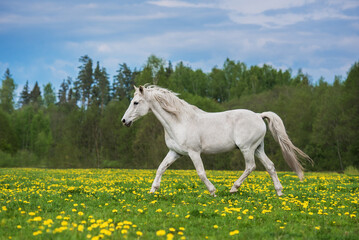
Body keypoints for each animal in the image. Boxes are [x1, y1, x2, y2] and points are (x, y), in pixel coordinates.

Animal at [121, 85, 312, 196]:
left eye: (136, 102)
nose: (124, 121)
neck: (179, 121)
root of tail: (258, 115)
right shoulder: (175, 152)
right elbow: (161, 168)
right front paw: (153, 190)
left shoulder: (194, 152)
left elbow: (201, 173)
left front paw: (213, 191)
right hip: (258, 148)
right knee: (270, 166)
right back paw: (279, 192)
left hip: (247, 148)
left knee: (251, 166)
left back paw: (234, 188)